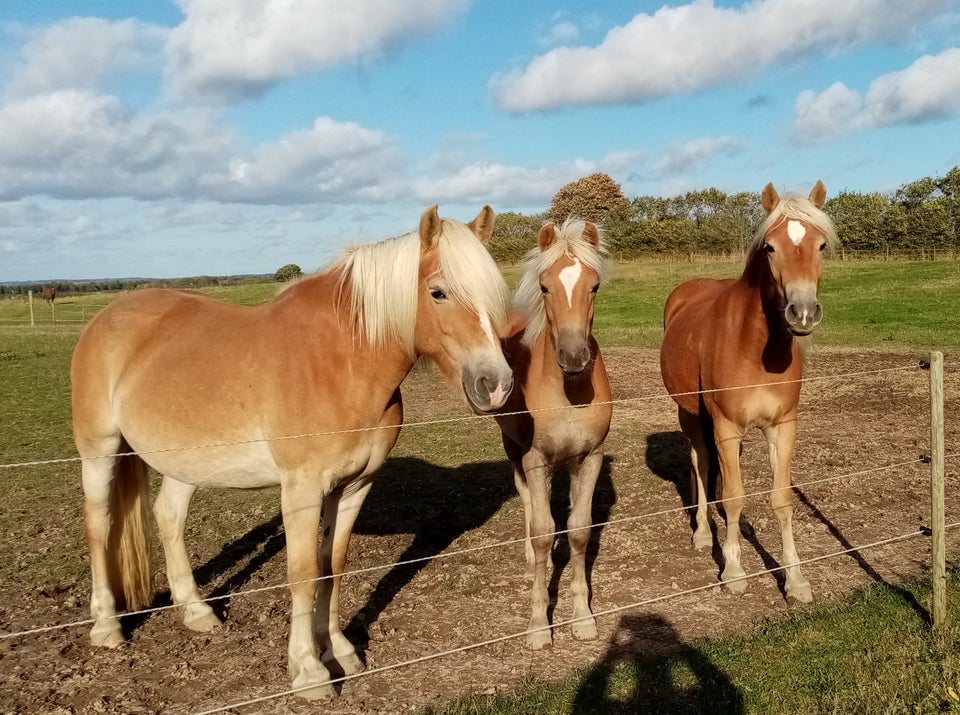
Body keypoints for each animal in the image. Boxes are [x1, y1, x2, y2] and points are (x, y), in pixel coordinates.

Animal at [72, 206, 516, 700]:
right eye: (438, 292)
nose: (496, 384)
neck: (340, 362)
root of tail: (106, 318)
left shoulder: (355, 487)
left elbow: (331, 566)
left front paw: (338, 649)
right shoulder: (301, 490)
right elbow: (303, 573)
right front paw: (308, 670)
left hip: (185, 461)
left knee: (168, 516)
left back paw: (197, 612)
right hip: (100, 450)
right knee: (98, 525)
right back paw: (107, 627)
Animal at [492, 218, 612, 648]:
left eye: (595, 286)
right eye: (545, 287)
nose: (574, 357)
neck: (569, 393)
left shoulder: (590, 458)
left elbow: (578, 530)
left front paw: (583, 617)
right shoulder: (535, 458)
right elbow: (545, 533)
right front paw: (538, 624)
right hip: (514, 448)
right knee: (528, 499)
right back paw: (529, 557)